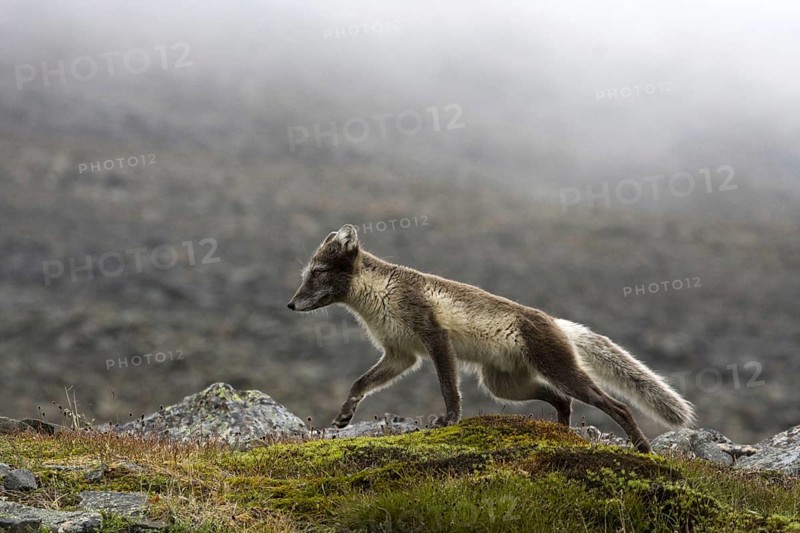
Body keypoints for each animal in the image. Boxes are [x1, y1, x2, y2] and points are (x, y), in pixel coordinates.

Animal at [287, 224, 695, 453]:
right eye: (305, 274)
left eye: (317, 272)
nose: (290, 304)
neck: (379, 296)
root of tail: (556, 321)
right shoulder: (400, 355)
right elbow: (360, 383)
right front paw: (344, 416)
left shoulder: (435, 338)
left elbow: (448, 387)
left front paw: (449, 420)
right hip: (504, 385)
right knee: (562, 400)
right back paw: (560, 433)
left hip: (558, 371)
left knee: (616, 406)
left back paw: (642, 448)